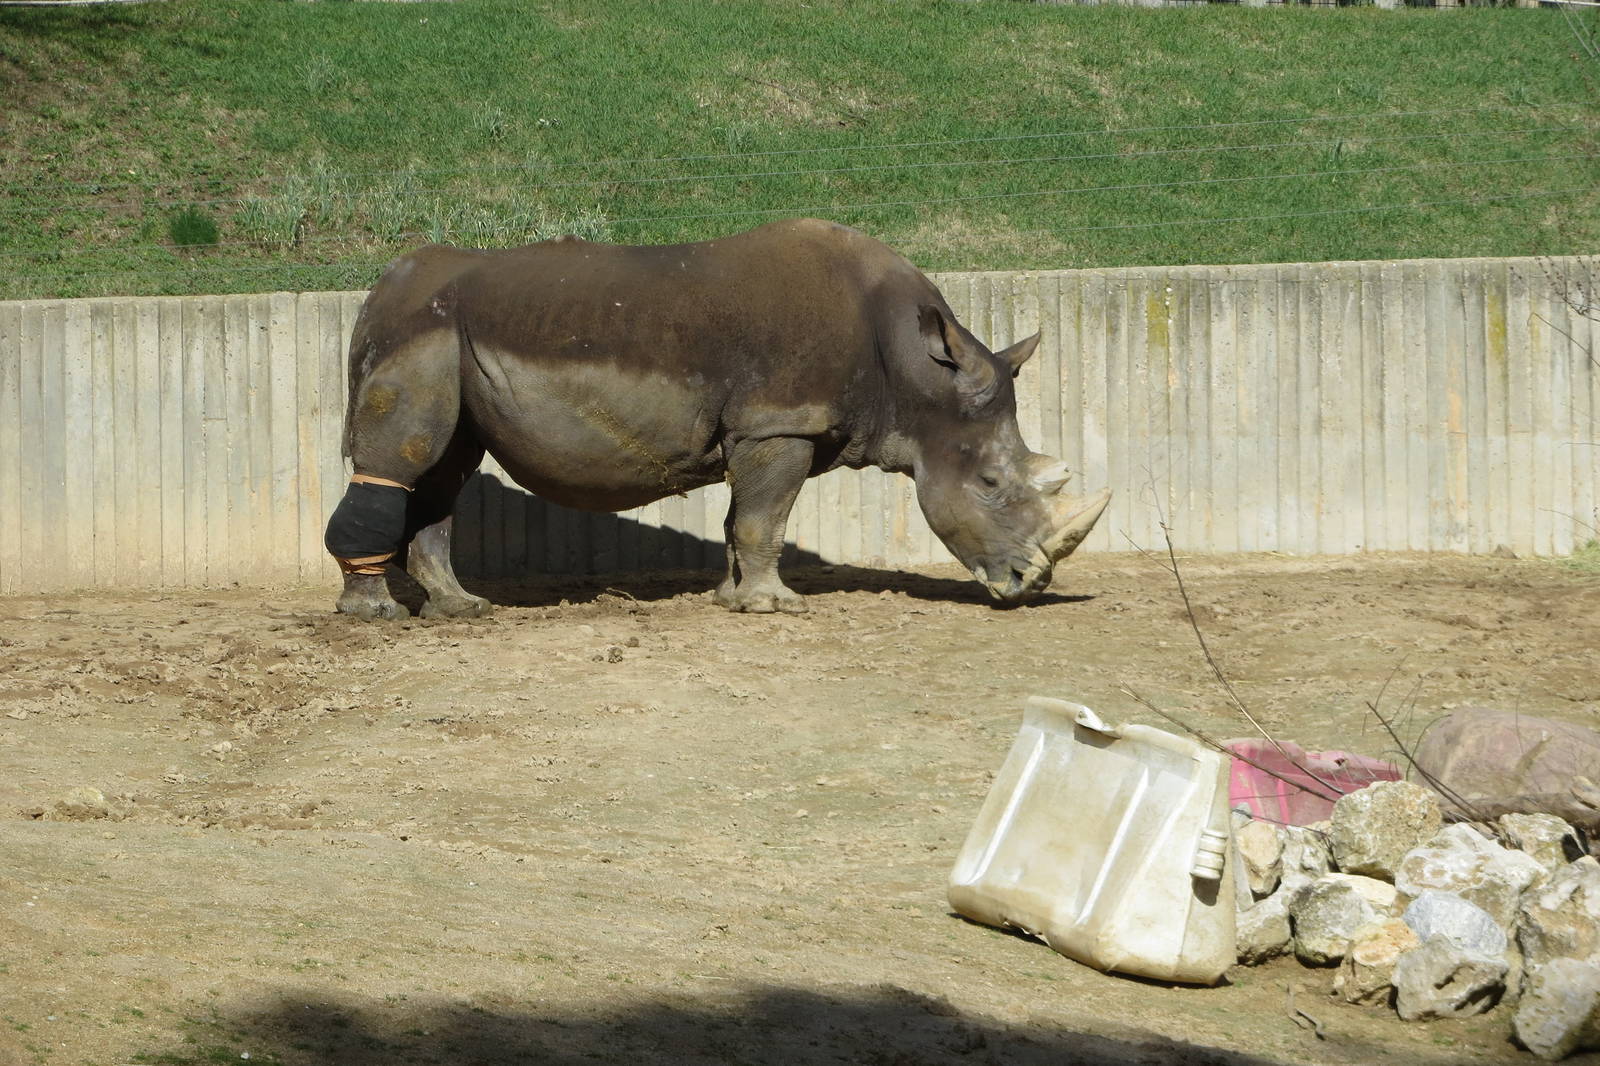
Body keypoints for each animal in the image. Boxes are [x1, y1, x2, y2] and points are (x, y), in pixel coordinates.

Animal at [324, 218, 1110, 619]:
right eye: (989, 485)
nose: (1031, 587)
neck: (917, 379)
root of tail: (380, 287)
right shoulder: (780, 421)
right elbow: (765, 517)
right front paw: (774, 606)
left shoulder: (767, 427)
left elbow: (744, 517)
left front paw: (730, 597)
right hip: (423, 330)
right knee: (405, 459)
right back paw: (374, 615)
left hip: (447, 334)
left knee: (446, 470)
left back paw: (463, 609)